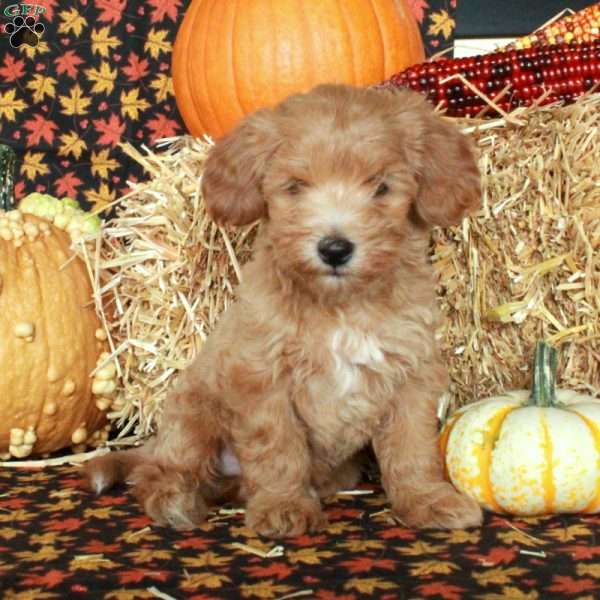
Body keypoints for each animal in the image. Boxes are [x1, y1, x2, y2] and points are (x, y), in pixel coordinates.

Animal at [85, 82, 482, 536]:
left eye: (381, 187)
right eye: (296, 186)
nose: (335, 248)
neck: (341, 307)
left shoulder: (411, 374)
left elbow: (411, 448)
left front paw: (428, 501)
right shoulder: (262, 376)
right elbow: (277, 448)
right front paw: (283, 506)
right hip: (193, 413)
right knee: (160, 469)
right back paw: (175, 500)